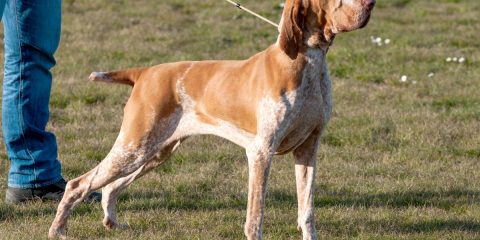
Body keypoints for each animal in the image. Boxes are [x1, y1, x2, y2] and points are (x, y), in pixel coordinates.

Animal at [47, 0, 376, 238]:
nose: (370, 3)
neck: (307, 62)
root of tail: (145, 72)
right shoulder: (261, 152)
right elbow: (255, 218)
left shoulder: (308, 149)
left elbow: (306, 213)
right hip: (134, 148)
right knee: (78, 184)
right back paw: (58, 230)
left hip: (155, 152)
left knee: (110, 187)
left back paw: (113, 224)